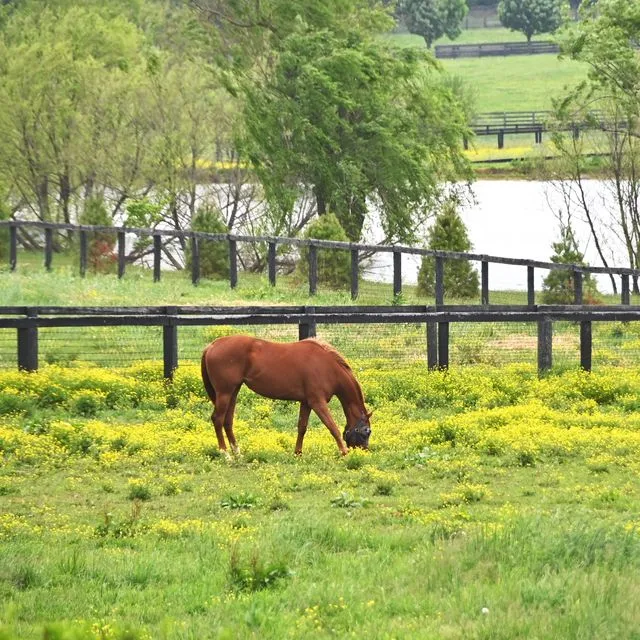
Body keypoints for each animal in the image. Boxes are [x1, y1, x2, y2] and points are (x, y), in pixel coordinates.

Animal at [199, 336, 370, 456]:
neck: (327, 366)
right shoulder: (317, 403)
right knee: (218, 419)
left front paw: (298, 453)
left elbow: (302, 427)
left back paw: (237, 453)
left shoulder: (306, 402)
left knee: (227, 421)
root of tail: (212, 345)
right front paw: (344, 452)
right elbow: (332, 426)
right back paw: (225, 454)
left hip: (233, 392)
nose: (364, 451)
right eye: (366, 432)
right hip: (225, 393)